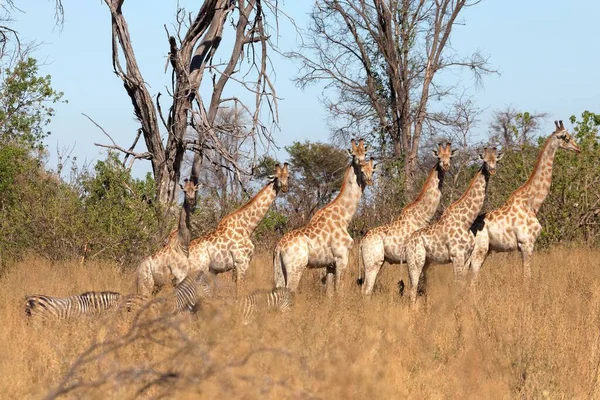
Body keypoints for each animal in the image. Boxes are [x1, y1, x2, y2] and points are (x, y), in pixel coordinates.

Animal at [188, 162, 290, 296]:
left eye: (288, 176)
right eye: (277, 177)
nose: (285, 188)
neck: (247, 226)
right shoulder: (242, 262)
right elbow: (240, 292)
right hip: (199, 269)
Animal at [274, 139, 376, 296]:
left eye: (364, 152)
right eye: (353, 154)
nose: (361, 162)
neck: (344, 217)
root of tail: (279, 247)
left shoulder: (330, 264)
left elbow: (329, 293)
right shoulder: (342, 258)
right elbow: (339, 290)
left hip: (279, 270)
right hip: (295, 268)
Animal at [356, 142, 454, 296]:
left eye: (450, 156)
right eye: (438, 157)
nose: (445, 165)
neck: (423, 215)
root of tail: (361, 242)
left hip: (374, 262)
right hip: (373, 262)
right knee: (367, 289)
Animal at [404, 147, 502, 304]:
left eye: (496, 160)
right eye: (485, 161)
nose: (492, 170)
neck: (466, 222)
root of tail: (407, 244)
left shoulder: (467, 257)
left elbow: (463, 283)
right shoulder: (457, 256)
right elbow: (458, 284)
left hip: (426, 263)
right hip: (415, 261)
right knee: (412, 289)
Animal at [468, 119, 580, 282]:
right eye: (566, 137)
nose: (578, 149)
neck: (532, 203)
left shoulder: (524, 245)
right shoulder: (527, 243)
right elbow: (527, 277)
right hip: (481, 247)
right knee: (474, 271)